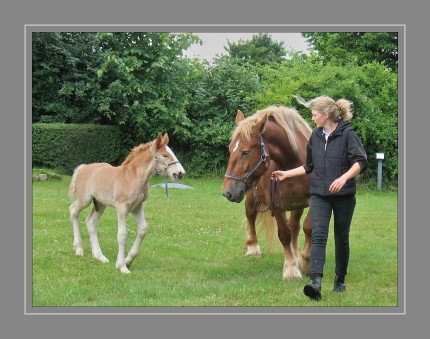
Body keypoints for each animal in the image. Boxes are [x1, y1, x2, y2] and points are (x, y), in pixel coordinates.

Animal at [68, 134, 186, 274]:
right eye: (164, 155)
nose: (180, 173)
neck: (133, 177)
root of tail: (83, 167)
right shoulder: (122, 208)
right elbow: (122, 235)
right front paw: (122, 266)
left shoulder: (137, 207)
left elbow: (143, 229)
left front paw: (128, 260)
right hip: (84, 199)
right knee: (73, 211)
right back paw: (79, 249)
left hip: (101, 204)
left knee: (91, 222)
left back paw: (99, 256)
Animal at [223, 107, 310, 282]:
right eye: (230, 149)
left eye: (245, 152)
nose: (227, 192)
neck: (294, 165)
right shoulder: (277, 205)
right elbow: (284, 234)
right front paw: (291, 269)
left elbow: (305, 228)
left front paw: (303, 261)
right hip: (250, 194)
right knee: (250, 215)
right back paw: (253, 248)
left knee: (295, 226)